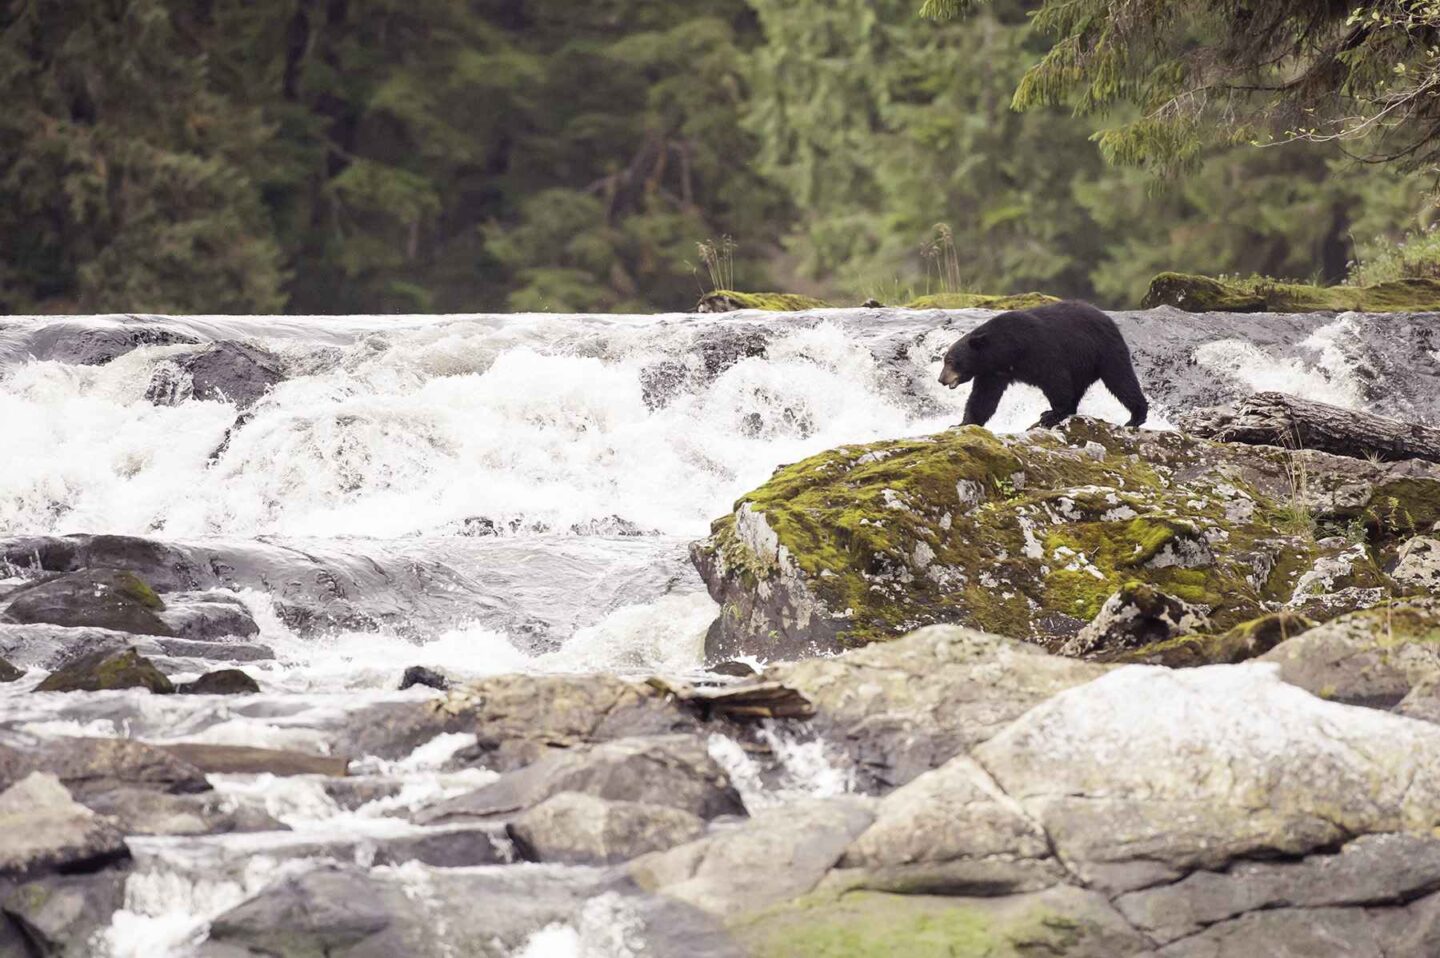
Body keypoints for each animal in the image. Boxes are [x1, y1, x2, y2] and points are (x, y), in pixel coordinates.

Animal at [933, 302, 1146, 426]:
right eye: (944, 359)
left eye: (950, 361)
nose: (941, 379)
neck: (1005, 350)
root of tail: (1110, 320)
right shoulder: (993, 372)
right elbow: (983, 398)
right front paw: (961, 423)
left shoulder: (1038, 350)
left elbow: (1055, 379)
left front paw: (1052, 414)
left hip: (1104, 351)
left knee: (1121, 380)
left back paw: (1136, 416)